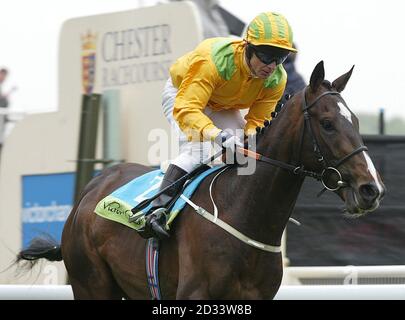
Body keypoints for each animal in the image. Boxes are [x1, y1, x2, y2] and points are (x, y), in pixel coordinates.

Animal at [17, 61, 384, 298]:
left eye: (355, 121)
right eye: (327, 123)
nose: (371, 189)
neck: (243, 210)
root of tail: (90, 191)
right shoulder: (194, 294)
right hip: (91, 284)